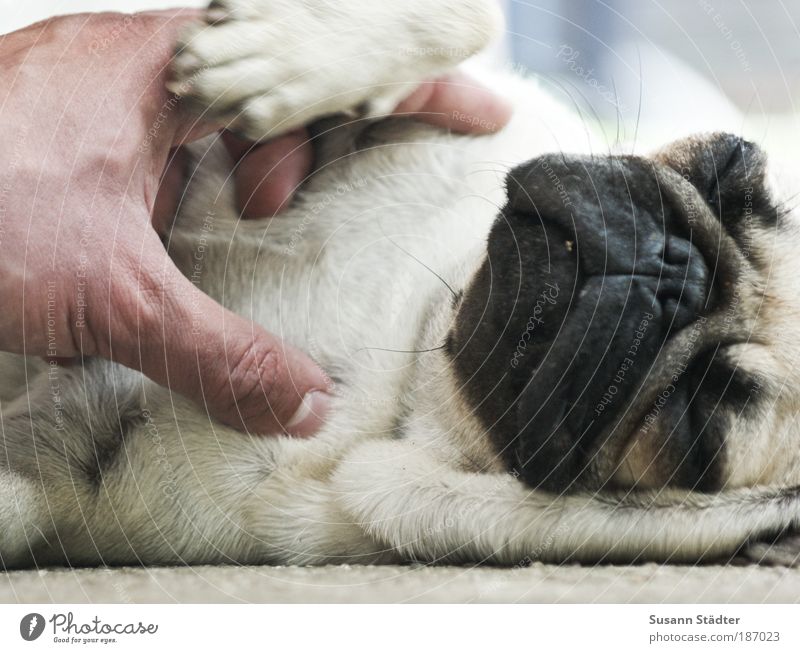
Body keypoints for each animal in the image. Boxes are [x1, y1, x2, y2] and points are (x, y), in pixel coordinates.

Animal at [1, 0, 800, 564]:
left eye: (696, 419)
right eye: (730, 165)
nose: (671, 267)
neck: (416, 340)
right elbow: (474, 17)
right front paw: (280, 59)